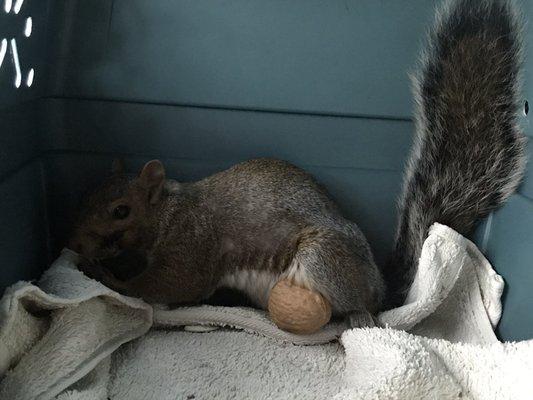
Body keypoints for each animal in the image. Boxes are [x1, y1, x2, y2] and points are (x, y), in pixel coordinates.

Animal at [68, 0, 524, 326]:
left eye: (121, 210)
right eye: (86, 195)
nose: (74, 243)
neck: (168, 210)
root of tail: (379, 286)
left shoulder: (191, 245)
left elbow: (167, 285)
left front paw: (108, 279)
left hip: (323, 260)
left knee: (359, 307)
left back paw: (358, 318)